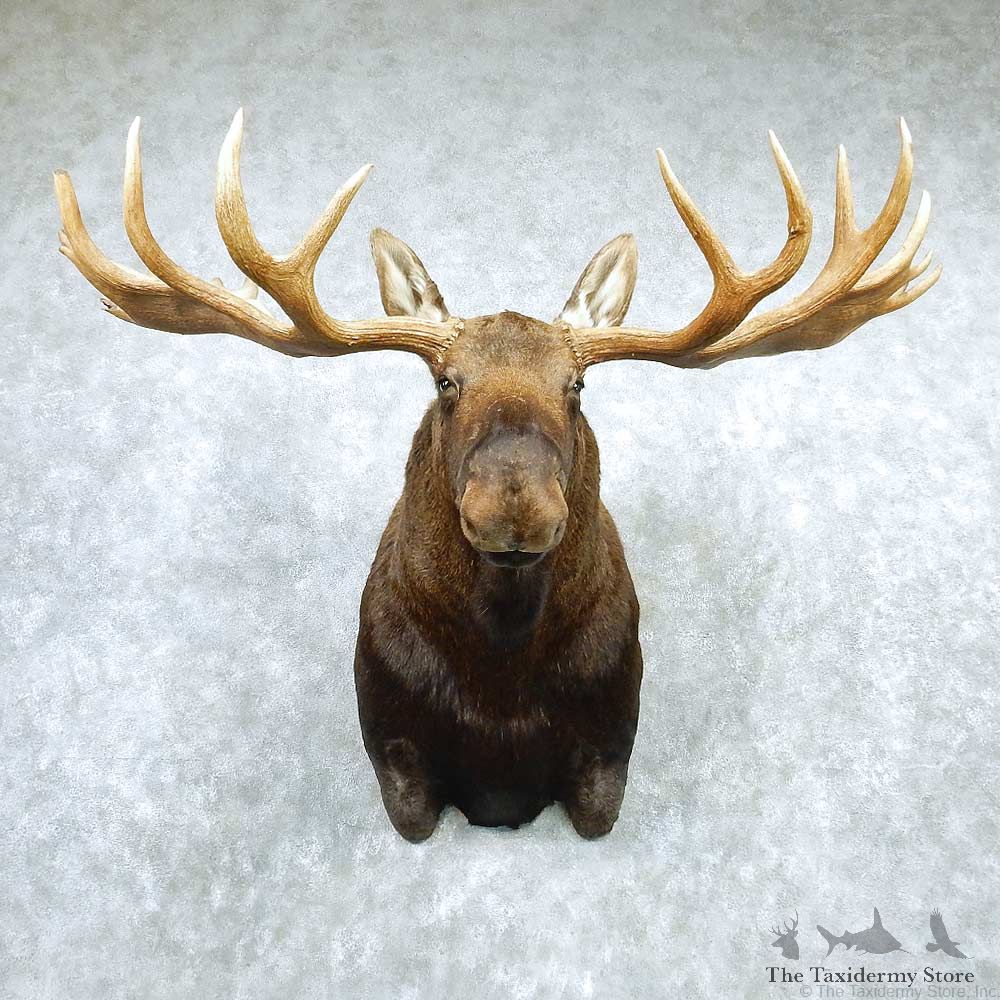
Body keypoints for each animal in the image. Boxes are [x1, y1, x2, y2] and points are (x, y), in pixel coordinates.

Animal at [54, 110, 939, 841]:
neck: (502, 684)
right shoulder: (392, 743)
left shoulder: (610, 743)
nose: (514, 506)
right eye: (447, 384)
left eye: (575, 388)